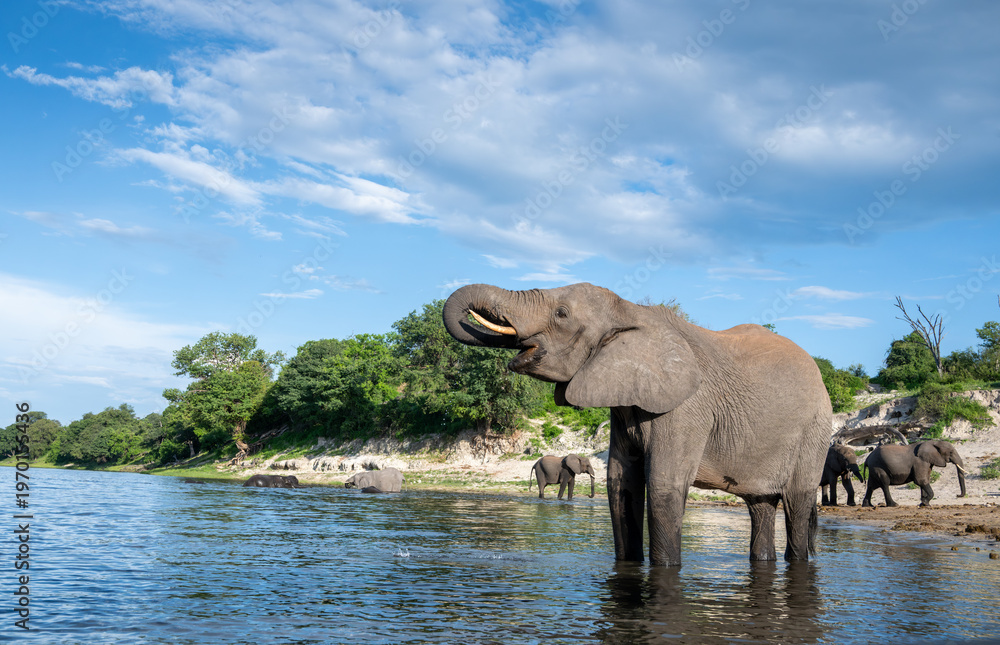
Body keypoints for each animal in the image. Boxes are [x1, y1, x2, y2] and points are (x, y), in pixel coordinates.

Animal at [443, 282, 831, 566]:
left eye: (562, 314)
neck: (630, 310)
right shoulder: (623, 404)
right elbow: (621, 485)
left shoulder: (686, 407)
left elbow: (662, 486)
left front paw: (665, 570)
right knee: (761, 505)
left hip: (813, 432)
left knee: (796, 503)